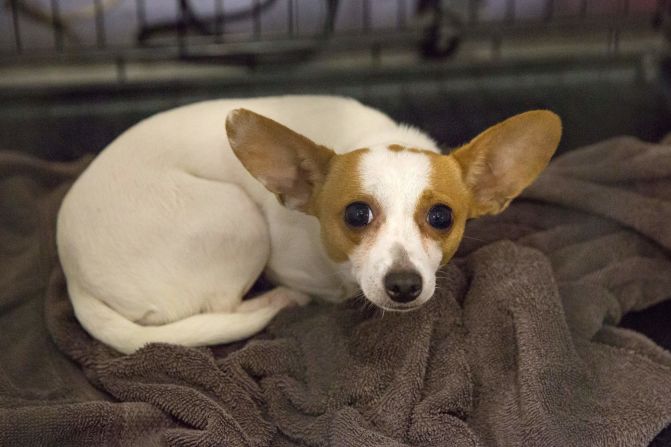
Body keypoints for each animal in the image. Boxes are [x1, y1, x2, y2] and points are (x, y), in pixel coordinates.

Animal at [56, 96, 560, 356]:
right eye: (356, 214)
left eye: (442, 217)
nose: (403, 285)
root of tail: (72, 274)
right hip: (239, 219)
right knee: (222, 306)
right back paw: (278, 302)